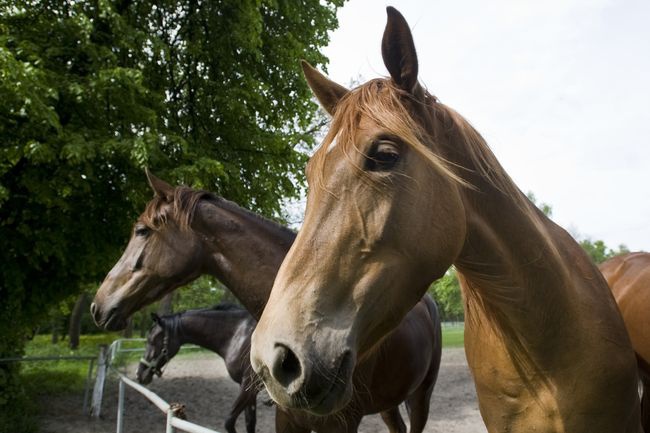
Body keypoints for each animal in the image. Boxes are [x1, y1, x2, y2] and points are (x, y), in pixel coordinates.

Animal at [135, 304, 256, 432]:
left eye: (152, 340)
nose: (139, 373)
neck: (239, 334)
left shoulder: (249, 386)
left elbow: (229, 422)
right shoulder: (247, 389)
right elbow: (250, 422)